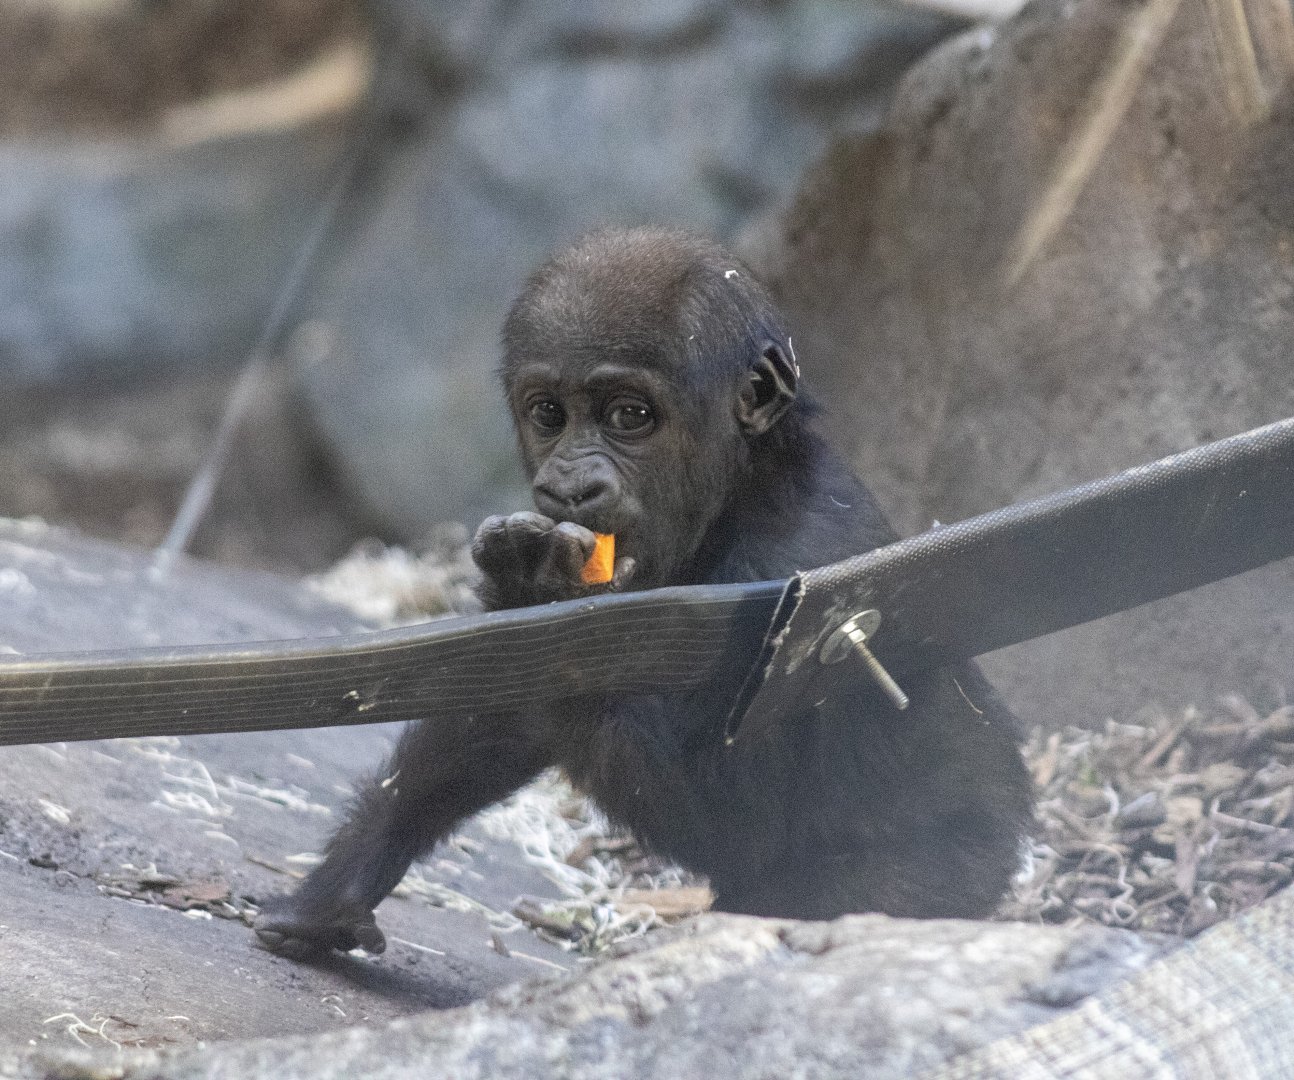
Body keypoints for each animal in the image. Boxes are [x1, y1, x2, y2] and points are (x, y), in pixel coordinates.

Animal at [254, 226, 1034, 956]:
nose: (572, 487)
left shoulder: (803, 579)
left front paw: (535, 590)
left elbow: (750, 822)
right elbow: (504, 699)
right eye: (549, 414)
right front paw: (342, 885)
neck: (741, 490)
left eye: (630, 415)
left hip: (940, 879)